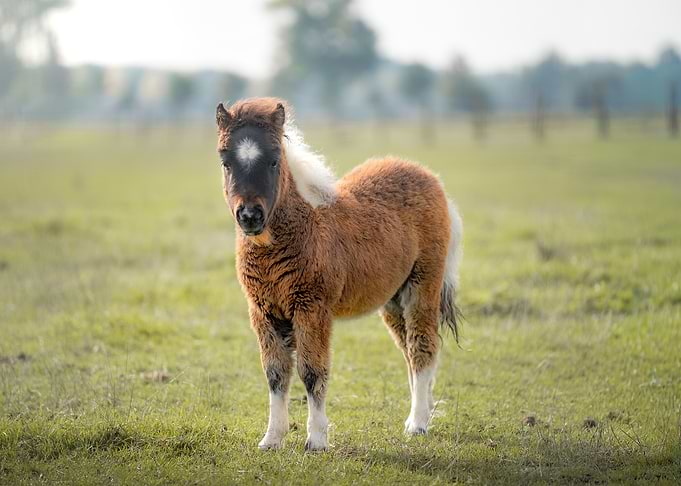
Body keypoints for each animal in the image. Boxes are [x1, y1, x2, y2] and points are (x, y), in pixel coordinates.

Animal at [215, 97, 463, 451]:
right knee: (408, 352)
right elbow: (275, 373)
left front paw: (317, 439)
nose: (250, 216)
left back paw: (418, 424)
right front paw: (272, 438)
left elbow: (312, 371)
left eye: (274, 160)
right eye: (226, 161)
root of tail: (431, 178)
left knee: (422, 347)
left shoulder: (312, 308)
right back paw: (421, 414)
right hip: (392, 299)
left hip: (423, 285)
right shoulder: (263, 312)